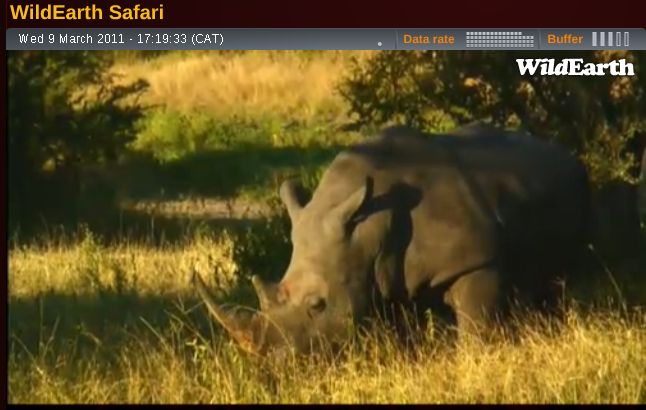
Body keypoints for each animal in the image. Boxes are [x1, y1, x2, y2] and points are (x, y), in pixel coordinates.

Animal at [194, 125, 591, 355]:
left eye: (318, 305)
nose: (272, 365)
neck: (366, 229)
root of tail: (565, 152)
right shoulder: (382, 277)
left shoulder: (477, 260)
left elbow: (477, 328)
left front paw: (478, 361)